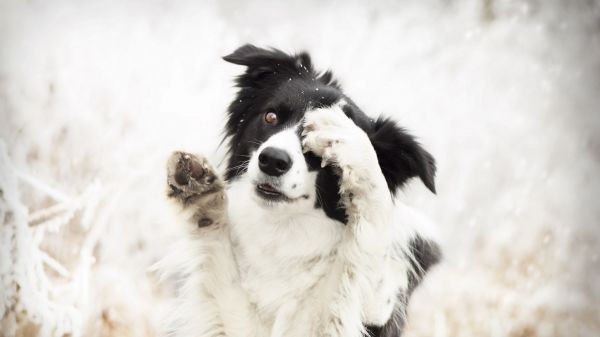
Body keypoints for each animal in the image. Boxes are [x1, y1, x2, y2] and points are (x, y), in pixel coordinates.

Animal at [164, 45, 440, 336]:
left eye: (323, 152)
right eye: (271, 117)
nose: (272, 160)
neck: (284, 230)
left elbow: (370, 236)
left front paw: (347, 136)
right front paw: (200, 192)